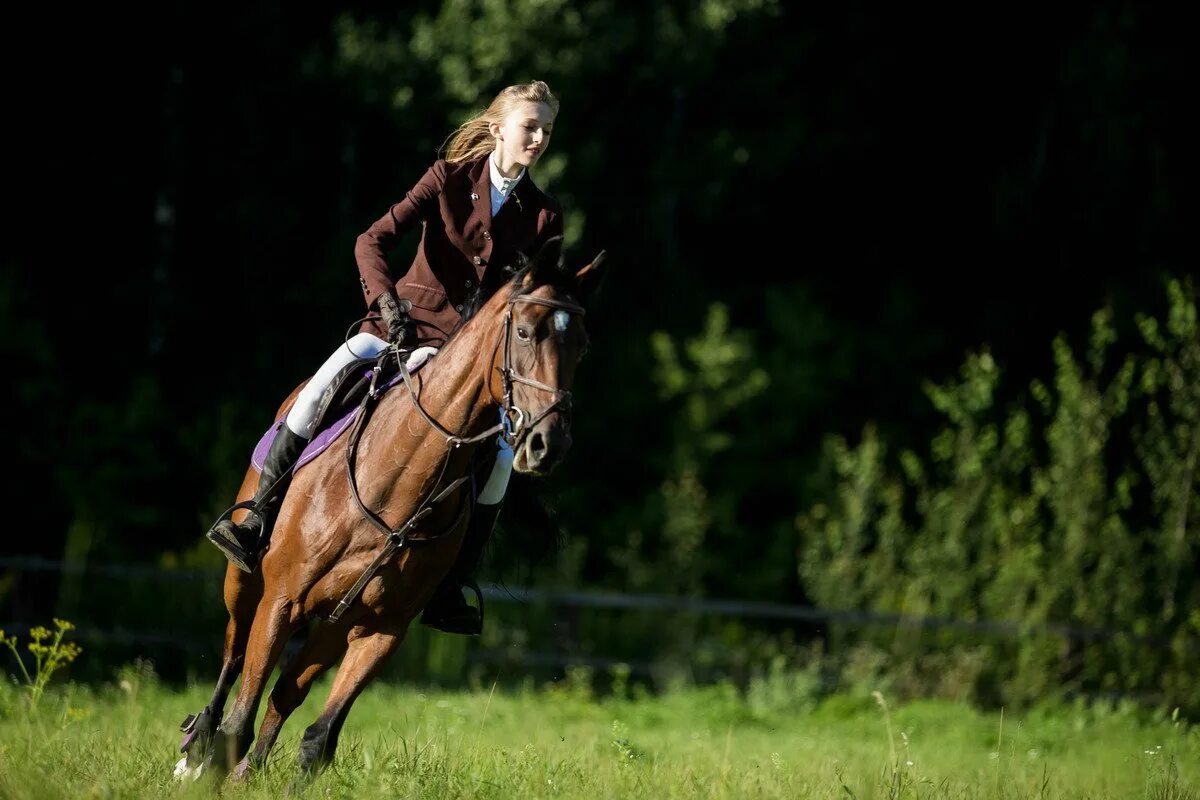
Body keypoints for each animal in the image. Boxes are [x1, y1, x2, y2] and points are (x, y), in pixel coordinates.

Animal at [174, 242, 604, 782]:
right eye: (525, 331)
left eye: (582, 346)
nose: (549, 443)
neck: (397, 484)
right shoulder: (281, 601)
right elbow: (240, 715)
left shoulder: (382, 630)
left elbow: (318, 739)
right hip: (246, 583)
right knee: (233, 654)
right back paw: (195, 747)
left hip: (334, 624)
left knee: (286, 692)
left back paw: (246, 772)